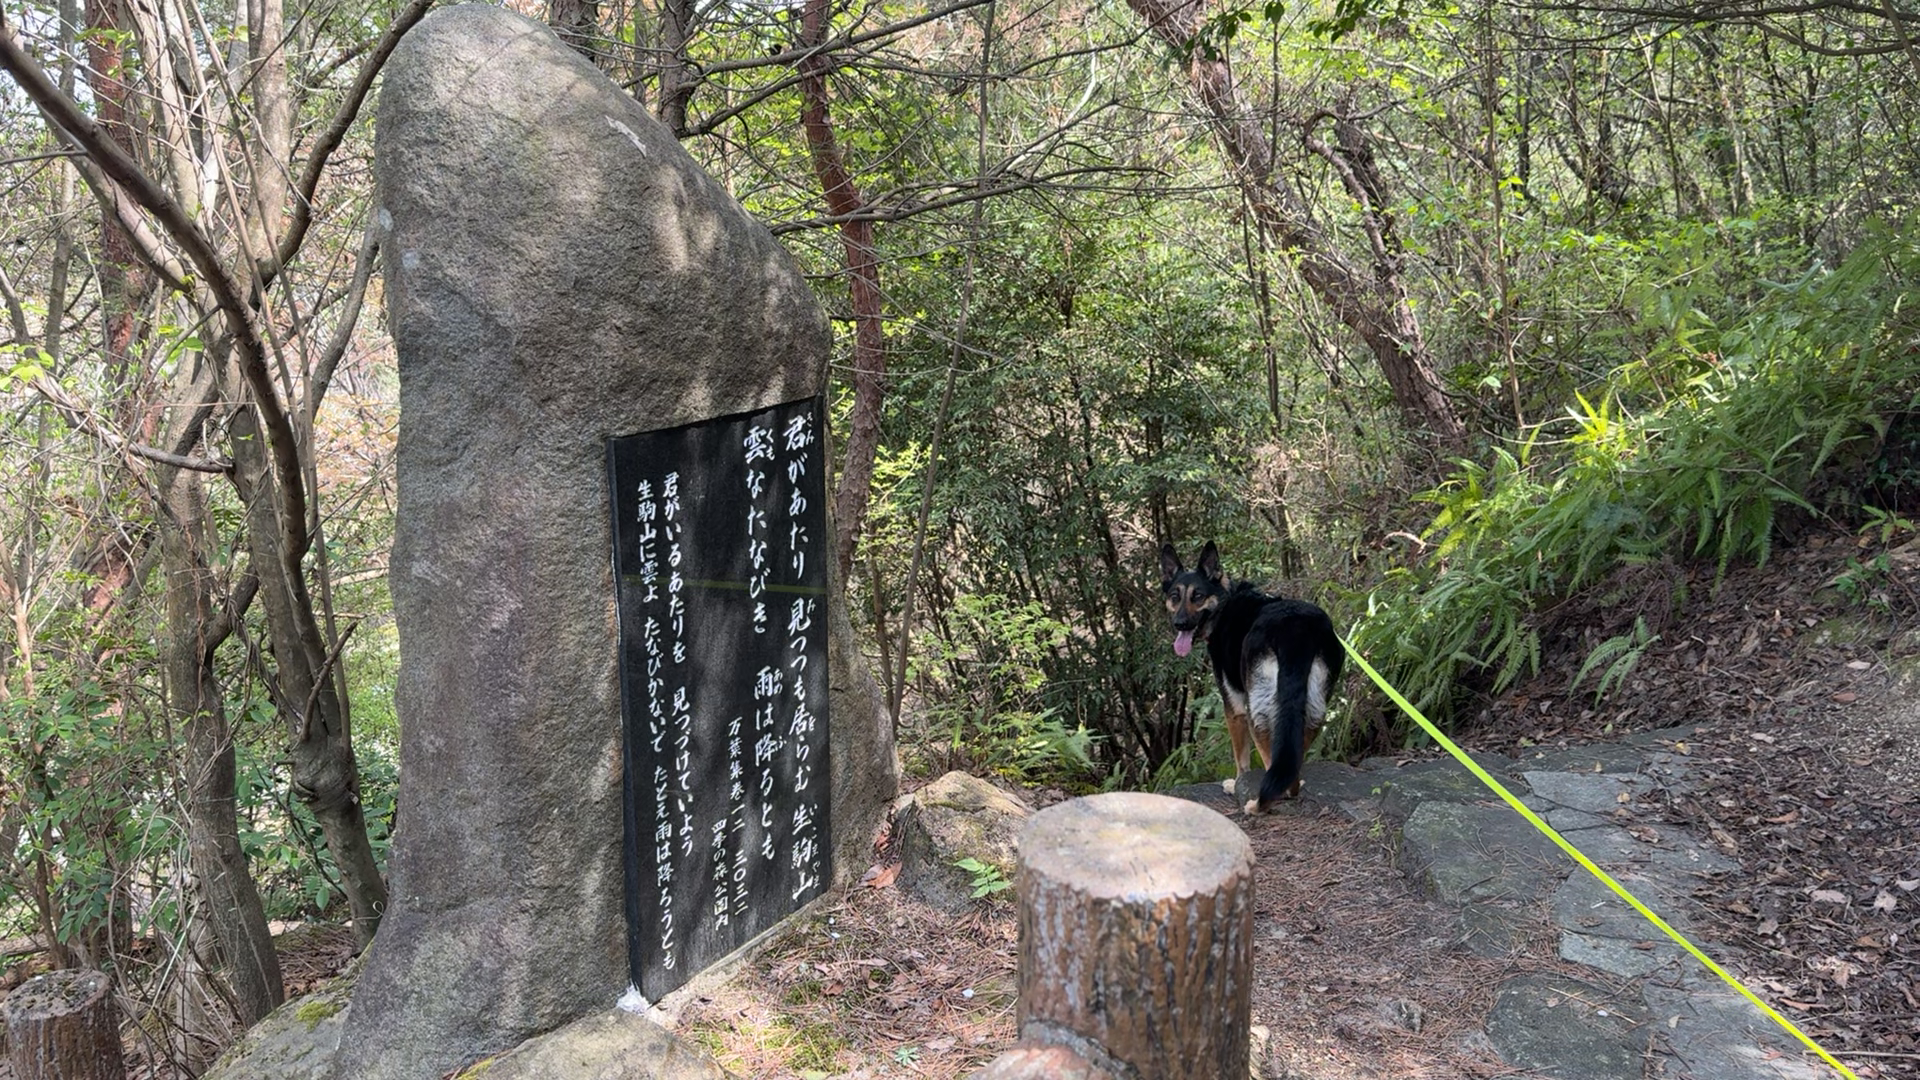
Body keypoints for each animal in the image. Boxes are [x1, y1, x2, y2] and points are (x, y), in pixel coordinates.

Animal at [1160, 541, 1343, 814]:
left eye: (1198, 596)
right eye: (1175, 596)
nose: (1180, 624)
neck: (1224, 601)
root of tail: (1296, 628)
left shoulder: (1234, 708)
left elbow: (1241, 760)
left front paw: (1235, 784)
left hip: (1259, 710)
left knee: (1271, 763)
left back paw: (1258, 804)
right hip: (1314, 705)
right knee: (1292, 760)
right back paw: (1293, 787)